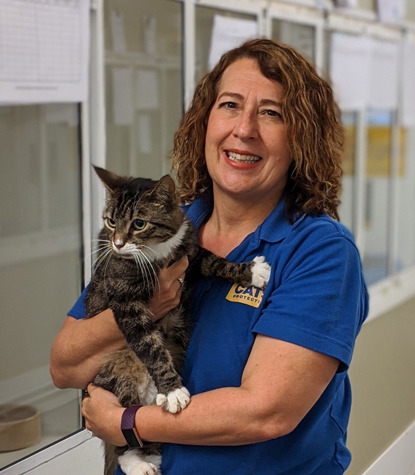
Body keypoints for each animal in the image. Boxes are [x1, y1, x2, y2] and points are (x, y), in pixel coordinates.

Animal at [86, 167, 272, 475]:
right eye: (111, 221)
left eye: (139, 223)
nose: (118, 244)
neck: (159, 250)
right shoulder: (125, 300)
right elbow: (148, 344)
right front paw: (173, 390)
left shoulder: (190, 252)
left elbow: (214, 261)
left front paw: (252, 272)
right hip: (120, 370)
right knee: (123, 430)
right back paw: (139, 460)